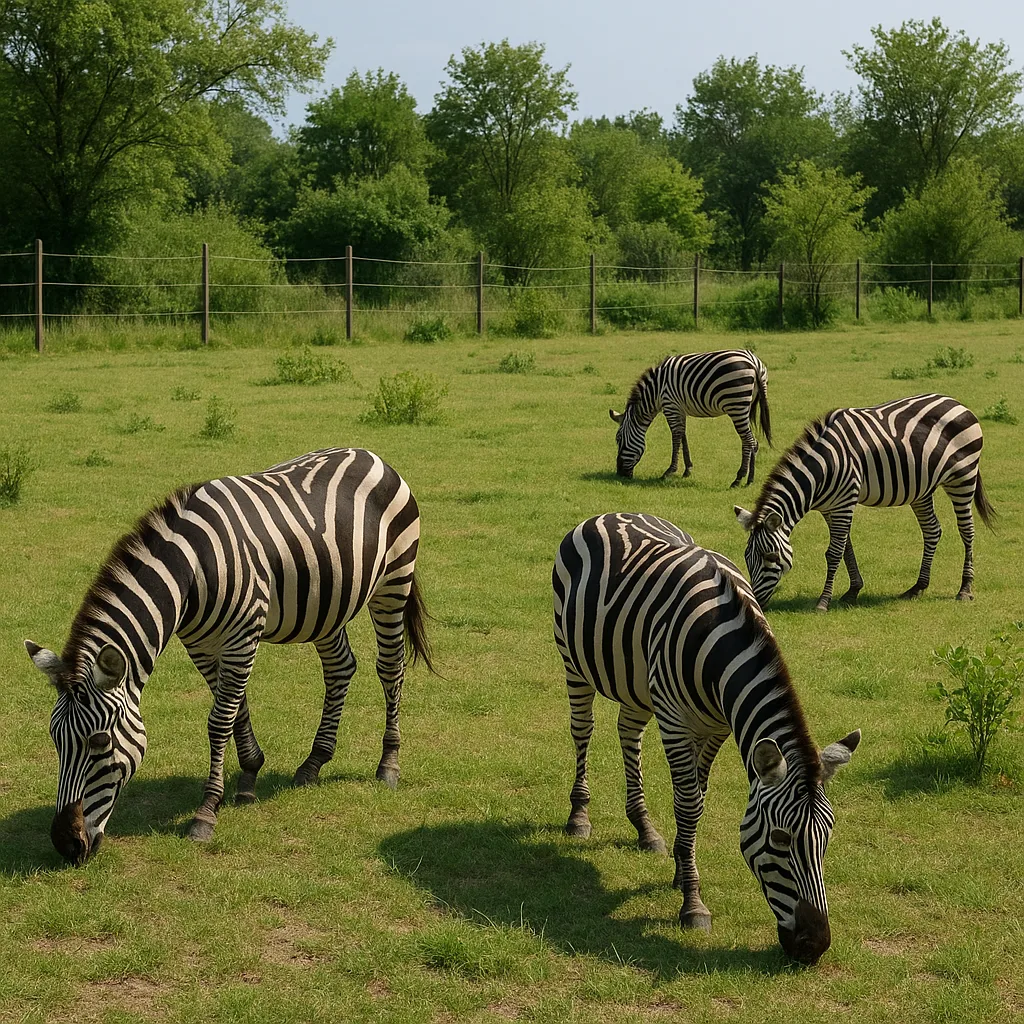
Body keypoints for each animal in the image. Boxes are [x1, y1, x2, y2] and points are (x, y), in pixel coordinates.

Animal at [25, 448, 431, 865]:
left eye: (100, 743)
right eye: (55, 739)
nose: (66, 844)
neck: (191, 571)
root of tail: (368, 454)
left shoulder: (242, 636)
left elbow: (219, 721)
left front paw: (206, 813)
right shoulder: (202, 644)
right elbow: (237, 710)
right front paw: (249, 778)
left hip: (394, 582)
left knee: (390, 667)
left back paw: (388, 764)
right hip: (326, 604)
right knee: (340, 668)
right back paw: (313, 762)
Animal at [553, 512, 859, 964]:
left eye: (827, 839)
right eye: (780, 839)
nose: (815, 946)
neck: (723, 642)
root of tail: (612, 513)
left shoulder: (716, 726)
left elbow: (698, 795)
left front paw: (681, 868)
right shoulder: (675, 720)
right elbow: (689, 805)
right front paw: (693, 902)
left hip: (638, 684)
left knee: (628, 730)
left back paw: (644, 828)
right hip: (574, 662)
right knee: (583, 730)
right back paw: (579, 815)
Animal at [609, 349, 772, 486]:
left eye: (618, 439)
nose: (620, 473)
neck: (656, 392)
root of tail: (753, 361)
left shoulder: (670, 406)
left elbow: (676, 437)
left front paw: (669, 471)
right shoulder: (679, 409)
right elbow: (683, 436)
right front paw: (687, 470)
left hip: (736, 404)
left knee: (748, 440)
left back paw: (738, 479)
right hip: (745, 405)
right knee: (753, 441)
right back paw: (750, 479)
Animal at [734, 394, 995, 612]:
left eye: (771, 557)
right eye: (746, 558)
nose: (756, 602)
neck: (822, 468)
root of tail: (957, 402)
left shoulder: (845, 501)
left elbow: (834, 552)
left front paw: (823, 602)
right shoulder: (830, 508)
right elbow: (846, 549)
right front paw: (853, 591)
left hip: (963, 477)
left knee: (967, 531)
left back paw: (965, 589)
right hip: (922, 489)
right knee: (932, 530)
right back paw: (918, 587)